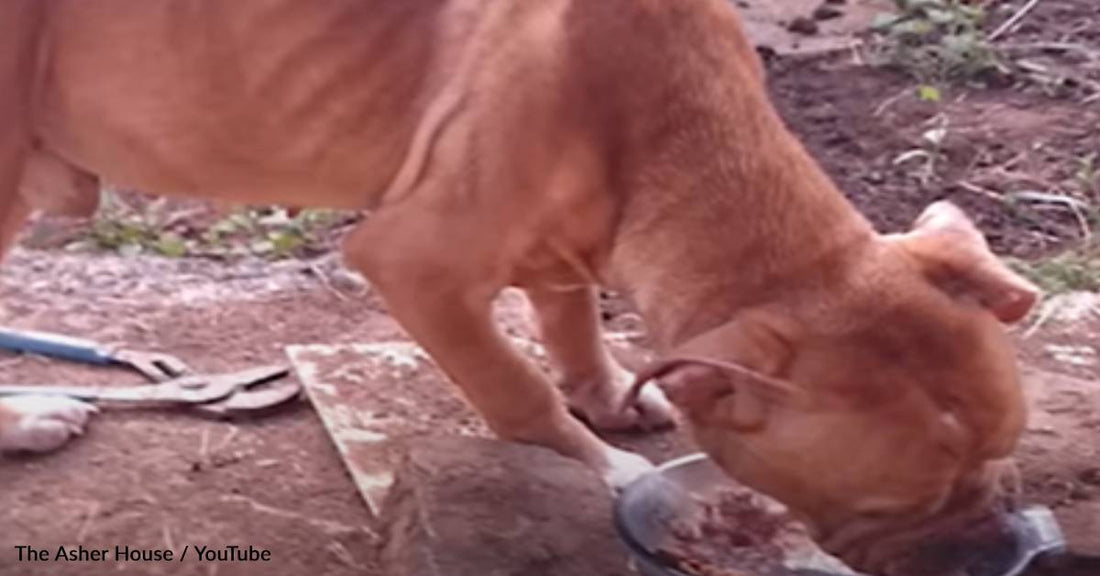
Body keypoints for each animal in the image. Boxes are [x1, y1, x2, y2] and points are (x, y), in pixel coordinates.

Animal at [0, 0, 1034, 571]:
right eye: (894, 507)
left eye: (1001, 457)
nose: (994, 551)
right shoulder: (416, 263)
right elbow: (519, 389)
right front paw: (605, 467)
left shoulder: (567, 246)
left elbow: (570, 318)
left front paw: (610, 395)